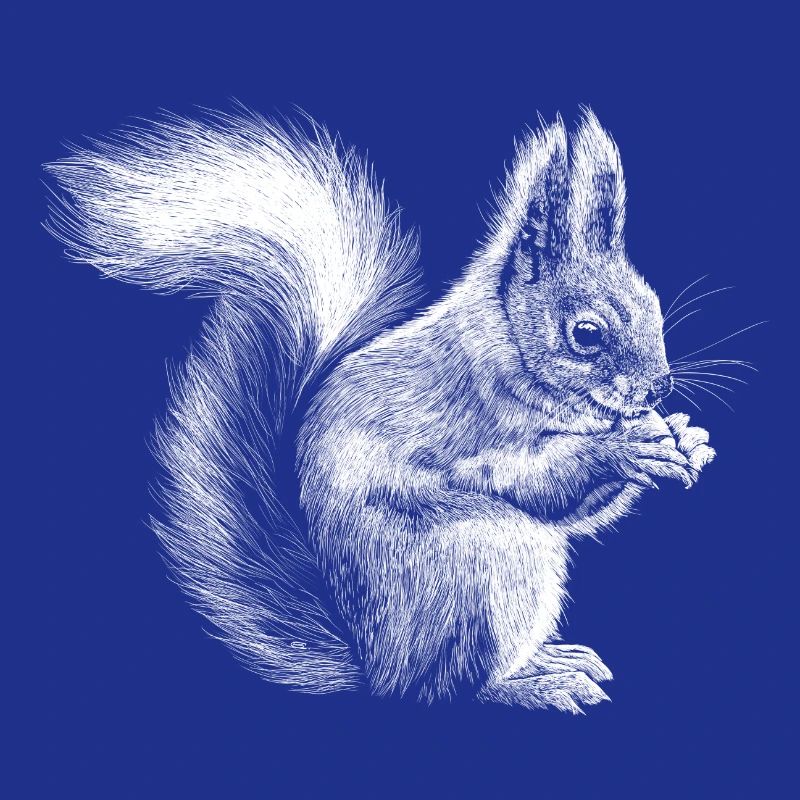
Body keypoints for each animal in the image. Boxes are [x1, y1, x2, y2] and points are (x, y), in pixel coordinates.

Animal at [45, 107, 716, 713]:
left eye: (653, 306)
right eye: (586, 334)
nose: (658, 389)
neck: (507, 346)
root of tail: (375, 665)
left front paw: (687, 437)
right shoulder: (478, 432)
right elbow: (535, 482)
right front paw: (625, 446)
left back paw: (552, 659)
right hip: (486, 562)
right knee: (449, 688)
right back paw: (536, 683)